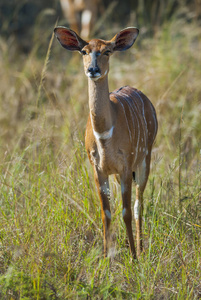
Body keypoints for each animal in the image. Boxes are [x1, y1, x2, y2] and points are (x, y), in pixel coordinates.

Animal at [54, 27, 158, 258]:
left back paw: (140, 248)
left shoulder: (126, 165)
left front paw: (133, 258)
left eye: (107, 51)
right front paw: (105, 257)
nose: (93, 69)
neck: (105, 135)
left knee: (138, 205)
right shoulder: (98, 169)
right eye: (84, 51)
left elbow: (126, 212)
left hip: (144, 159)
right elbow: (106, 213)